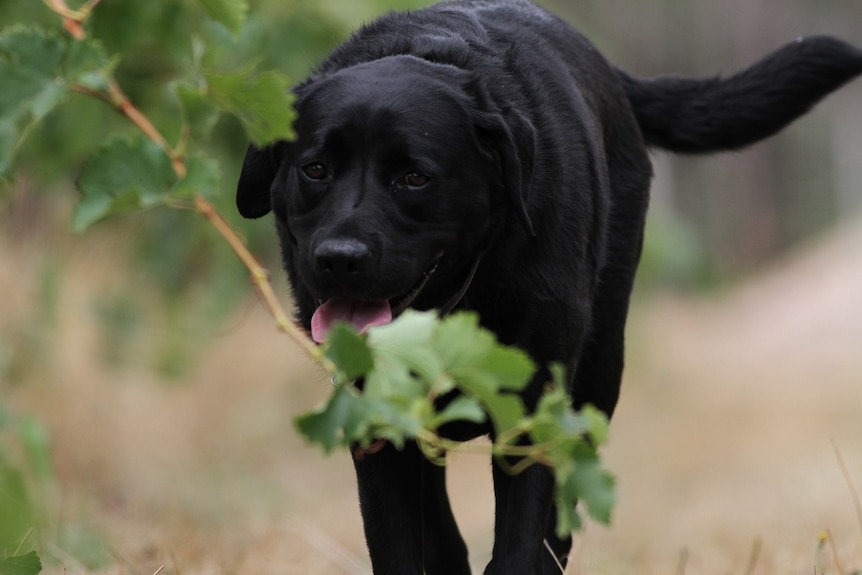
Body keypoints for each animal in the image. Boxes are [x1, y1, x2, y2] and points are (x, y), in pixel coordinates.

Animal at [236, 2, 862, 572]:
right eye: (315, 169)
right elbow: (405, 546)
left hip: (599, 372)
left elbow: (520, 546)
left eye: (414, 177)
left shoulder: (536, 407)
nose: (339, 260)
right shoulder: (378, 418)